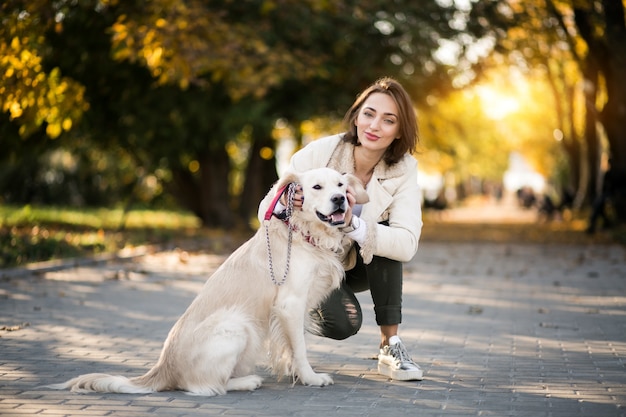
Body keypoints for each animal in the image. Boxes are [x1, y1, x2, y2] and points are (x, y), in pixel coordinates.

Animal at [46, 167, 368, 394]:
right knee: (204, 387)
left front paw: (296, 373)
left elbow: (292, 344)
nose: (339, 199)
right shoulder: (290, 303)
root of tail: (162, 370)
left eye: (340, 186)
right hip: (238, 326)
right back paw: (246, 382)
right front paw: (311, 377)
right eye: (316, 187)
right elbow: (299, 348)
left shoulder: (295, 310)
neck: (304, 233)